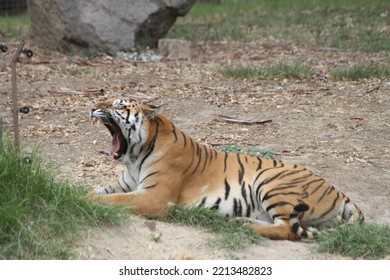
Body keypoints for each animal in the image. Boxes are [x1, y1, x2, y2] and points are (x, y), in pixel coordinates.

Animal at [87, 97, 362, 240]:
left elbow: (117, 200)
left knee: (287, 229)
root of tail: (342, 194)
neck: (134, 155)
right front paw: (81, 194)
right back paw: (241, 221)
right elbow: (97, 191)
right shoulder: (125, 184)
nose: (92, 106)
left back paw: (245, 227)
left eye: (119, 105)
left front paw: (87, 200)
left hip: (271, 180)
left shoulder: (154, 197)